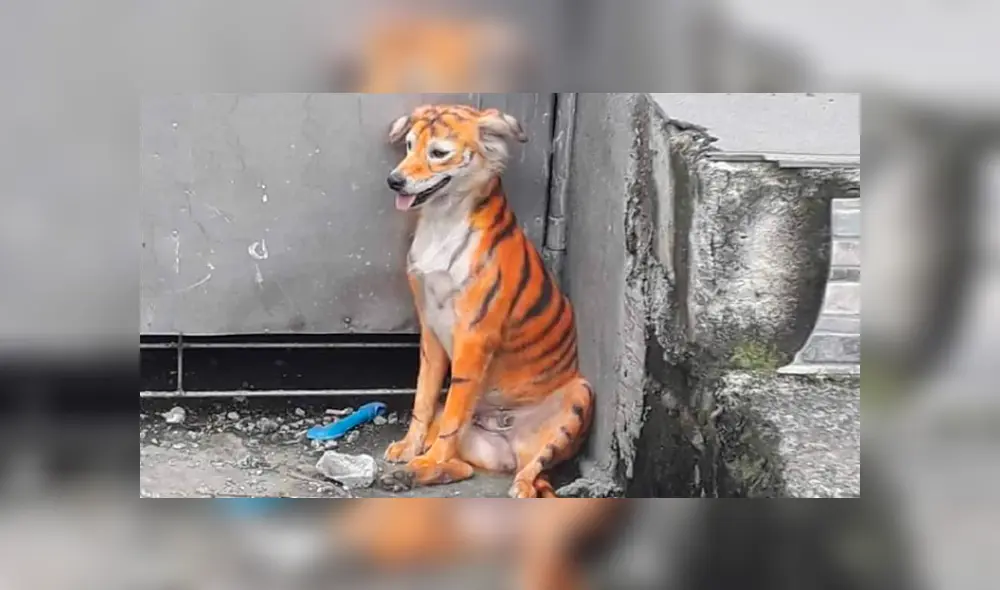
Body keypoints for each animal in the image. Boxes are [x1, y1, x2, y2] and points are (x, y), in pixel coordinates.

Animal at [379, 103, 595, 499]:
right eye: (409, 145)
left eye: (438, 153)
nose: (394, 181)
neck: (442, 221)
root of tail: (509, 441)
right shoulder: (430, 330)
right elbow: (423, 398)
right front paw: (410, 449)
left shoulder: (473, 337)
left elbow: (453, 416)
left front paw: (425, 458)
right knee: (462, 467)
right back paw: (407, 475)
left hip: (579, 396)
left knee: (531, 473)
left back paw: (515, 486)